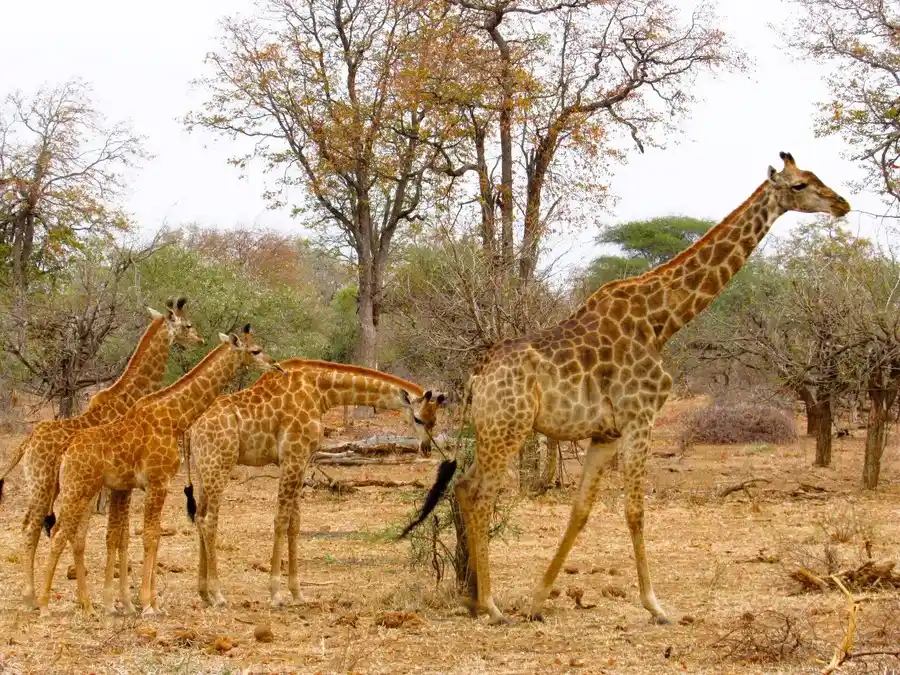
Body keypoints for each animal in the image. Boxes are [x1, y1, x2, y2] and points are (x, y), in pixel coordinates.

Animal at [0, 297, 204, 607]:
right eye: (188, 324)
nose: (201, 339)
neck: (126, 398)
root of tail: (28, 443)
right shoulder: (119, 484)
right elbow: (117, 534)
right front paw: (121, 598)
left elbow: (106, 534)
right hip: (44, 485)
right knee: (31, 528)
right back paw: (31, 595)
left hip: (46, 487)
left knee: (31, 526)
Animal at [36, 325, 284, 617]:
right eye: (255, 350)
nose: (276, 365)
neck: (174, 417)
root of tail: (65, 453)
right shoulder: (158, 483)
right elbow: (150, 537)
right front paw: (146, 604)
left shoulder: (155, 485)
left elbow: (153, 538)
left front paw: (152, 603)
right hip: (77, 491)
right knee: (58, 534)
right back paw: (43, 605)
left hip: (80, 492)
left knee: (64, 533)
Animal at [185, 359, 446, 608]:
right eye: (418, 418)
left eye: (435, 420)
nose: (426, 449)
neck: (321, 392)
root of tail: (191, 429)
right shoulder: (293, 456)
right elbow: (280, 521)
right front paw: (276, 594)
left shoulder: (302, 460)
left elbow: (295, 524)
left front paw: (297, 593)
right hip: (220, 464)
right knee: (209, 521)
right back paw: (218, 595)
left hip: (203, 468)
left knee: (199, 516)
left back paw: (204, 594)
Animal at [402, 152, 851, 625]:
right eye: (800, 185)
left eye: (816, 176)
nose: (841, 204)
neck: (662, 321)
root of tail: (476, 378)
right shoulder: (641, 417)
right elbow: (635, 511)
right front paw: (656, 605)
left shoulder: (607, 433)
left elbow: (581, 510)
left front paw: (539, 600)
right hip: (509, 427)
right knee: (477, 492)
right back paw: (489, 604)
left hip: (494, 430)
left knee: (465, 489)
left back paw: (475, 599)